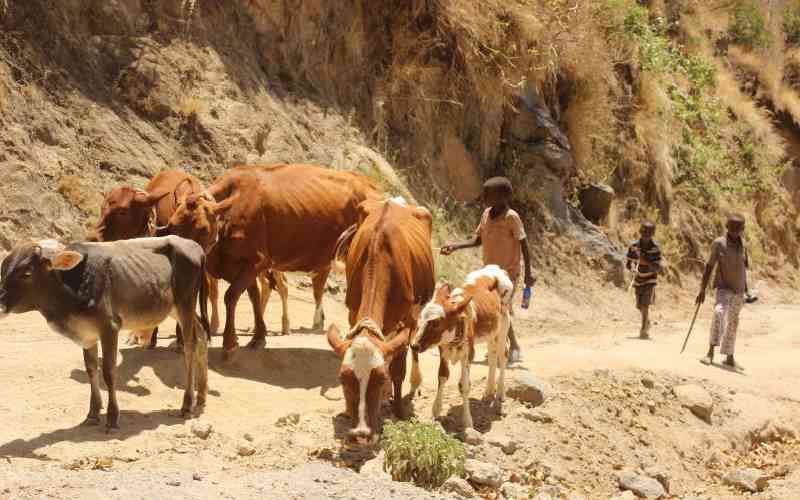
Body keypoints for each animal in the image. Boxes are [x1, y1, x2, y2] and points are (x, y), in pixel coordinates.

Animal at [0, 235, 209, 430]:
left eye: (26, 273)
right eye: (2, 270)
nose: (0, 305)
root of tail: (197, 247)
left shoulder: (110, 327)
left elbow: (109, 372)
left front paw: (112, 417)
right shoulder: (88, 335)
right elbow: (91, 369)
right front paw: (92, 413)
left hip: (185, 304)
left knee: (190, 346)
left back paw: (187, 405)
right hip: (176, 309)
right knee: (202, 337)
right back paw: (201, 395)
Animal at [197, 164, 378, 356]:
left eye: (203, 228)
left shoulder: (255, 261)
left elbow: (231, 295)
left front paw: (230, 340)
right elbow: (249, 295)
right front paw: (255, 336)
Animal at [324, 197, 434, 444]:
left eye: (380, 379)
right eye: (342, 379)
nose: (361, 434)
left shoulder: (407, 319)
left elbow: (398, 369)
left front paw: (399, 410)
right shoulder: (353, 312)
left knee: (412, 350)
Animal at [410, 264, 516, 432]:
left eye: (435, 323)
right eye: (420, 319)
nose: (414, 345)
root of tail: (495, 269)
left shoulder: (468, 354)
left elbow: (464, 386)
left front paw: (467, 422)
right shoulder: (443, 351)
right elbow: (442, 377)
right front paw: (436, 411)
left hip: (503, 327)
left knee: (502, 355)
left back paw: (499, 394)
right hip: (491, 333)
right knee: (492, 357)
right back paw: (488, 392)